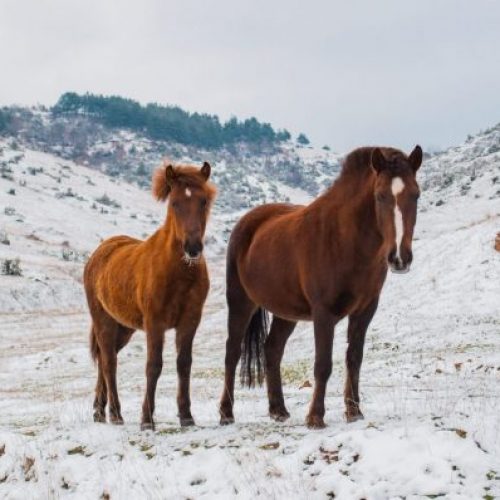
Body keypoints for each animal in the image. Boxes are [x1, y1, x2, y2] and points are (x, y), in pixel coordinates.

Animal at [83, 161, 215, 430]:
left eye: (204, 201)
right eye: (174, 203)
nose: (193, 248)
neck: (178, 273)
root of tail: (99, 253)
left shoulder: (190, 321)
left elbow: (184, 364)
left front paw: (186, 416)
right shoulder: (155, 323)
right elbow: (154, 366)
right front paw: (146, 420)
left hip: (124, 328)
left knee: (104, 359)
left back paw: (100, 412)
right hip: (104, 322)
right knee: (109, 363)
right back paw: (116, 414)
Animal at [219, 146, 422, 428]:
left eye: (416, 194)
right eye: (380, 196)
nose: (400, 258)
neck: (345, 239)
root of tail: (247, 222)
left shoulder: (365, 311)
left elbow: (354, 358)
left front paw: (354, 411)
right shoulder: (324, 313)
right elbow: (323, 364)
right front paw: (316, 416)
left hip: (286, 312)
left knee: (272, 349)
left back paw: (278, 410)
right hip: (240, 302)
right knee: (232, 352)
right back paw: (226, 413)